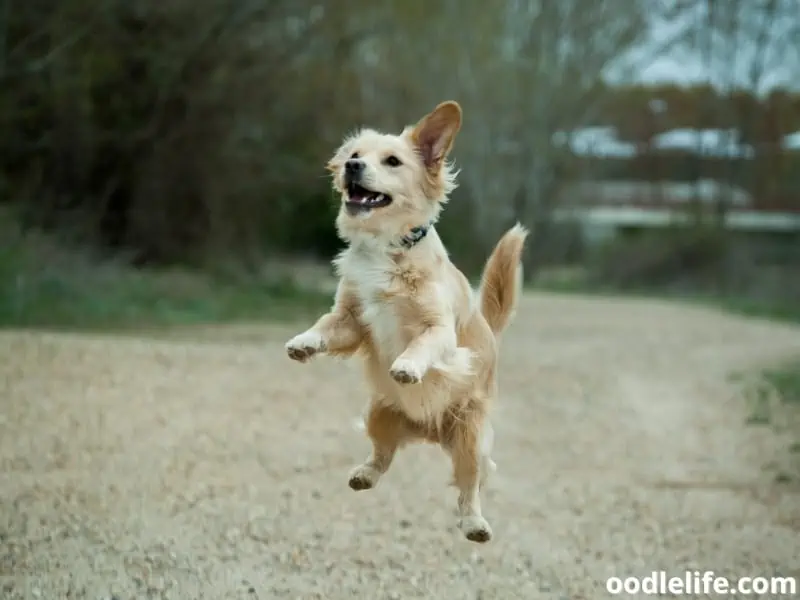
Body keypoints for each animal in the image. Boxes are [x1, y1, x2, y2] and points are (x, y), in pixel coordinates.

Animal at [284, 99, 528, 544]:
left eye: (392, 161)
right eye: (354, 154)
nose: (353, 166)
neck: (385, 248)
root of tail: (428, 431)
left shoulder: (439, 328)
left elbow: (423, 343)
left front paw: (408, 366)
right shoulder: (351, 317)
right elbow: (326, 325)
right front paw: (304, 342)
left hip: (470, 434)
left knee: (470, 483)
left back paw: (474, 523)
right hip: (378, 413)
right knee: (383, 455)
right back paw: (364, 474)